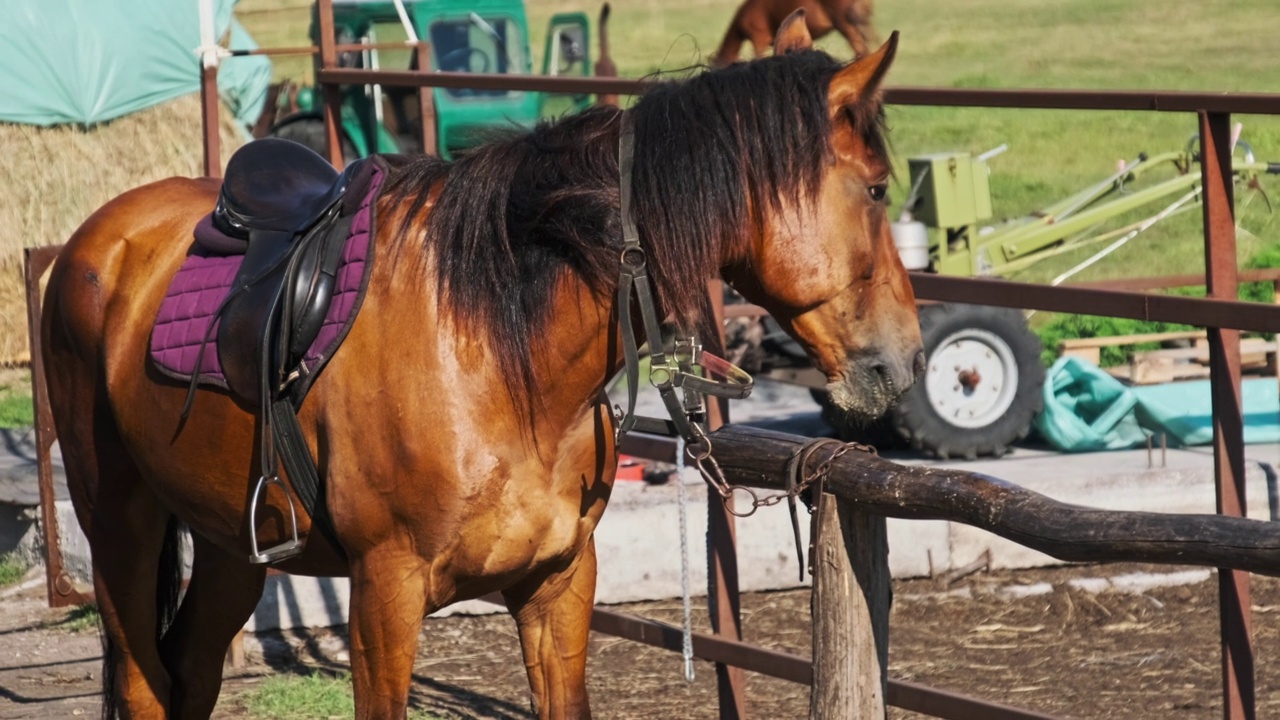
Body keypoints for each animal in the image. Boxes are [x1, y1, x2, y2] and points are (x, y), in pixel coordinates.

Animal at [40, 18, 921, 717]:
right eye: (878, 189)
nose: (905, 361)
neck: (500, 358)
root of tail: (97, 237)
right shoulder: (383, 600)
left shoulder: (558, 587)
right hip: (118, 524)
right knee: (146, 682)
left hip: (229, 543)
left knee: (189, 671)